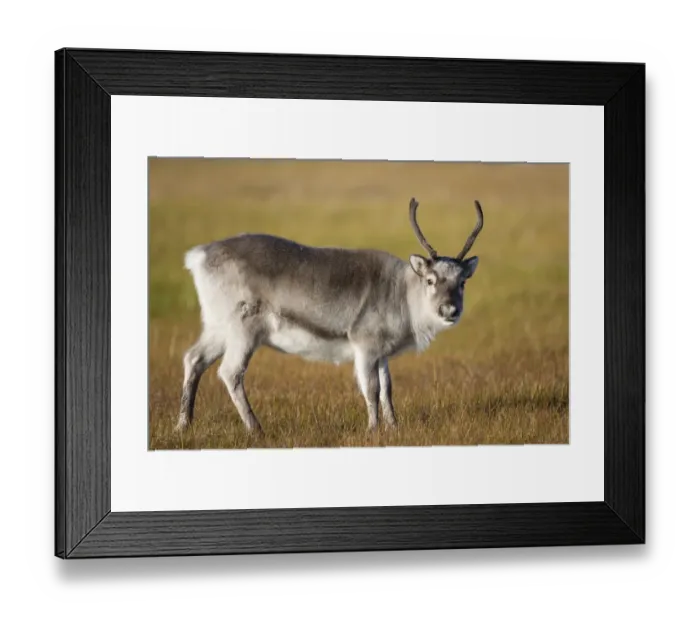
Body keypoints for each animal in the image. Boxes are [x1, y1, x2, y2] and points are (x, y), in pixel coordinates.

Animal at [175, 197, 483, 435]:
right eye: (431, 280)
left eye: (462, 282)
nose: (450, 310)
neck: (403, 295)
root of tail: (198, 256)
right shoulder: (365, 345)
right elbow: (371, 389)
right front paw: (373, 429)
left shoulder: (381, 352)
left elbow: (387, 389)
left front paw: (394, 427)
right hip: (244, 329)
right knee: (230, 372)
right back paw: (256, 429)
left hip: (217, 327)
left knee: (193, 359)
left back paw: (183, 425)